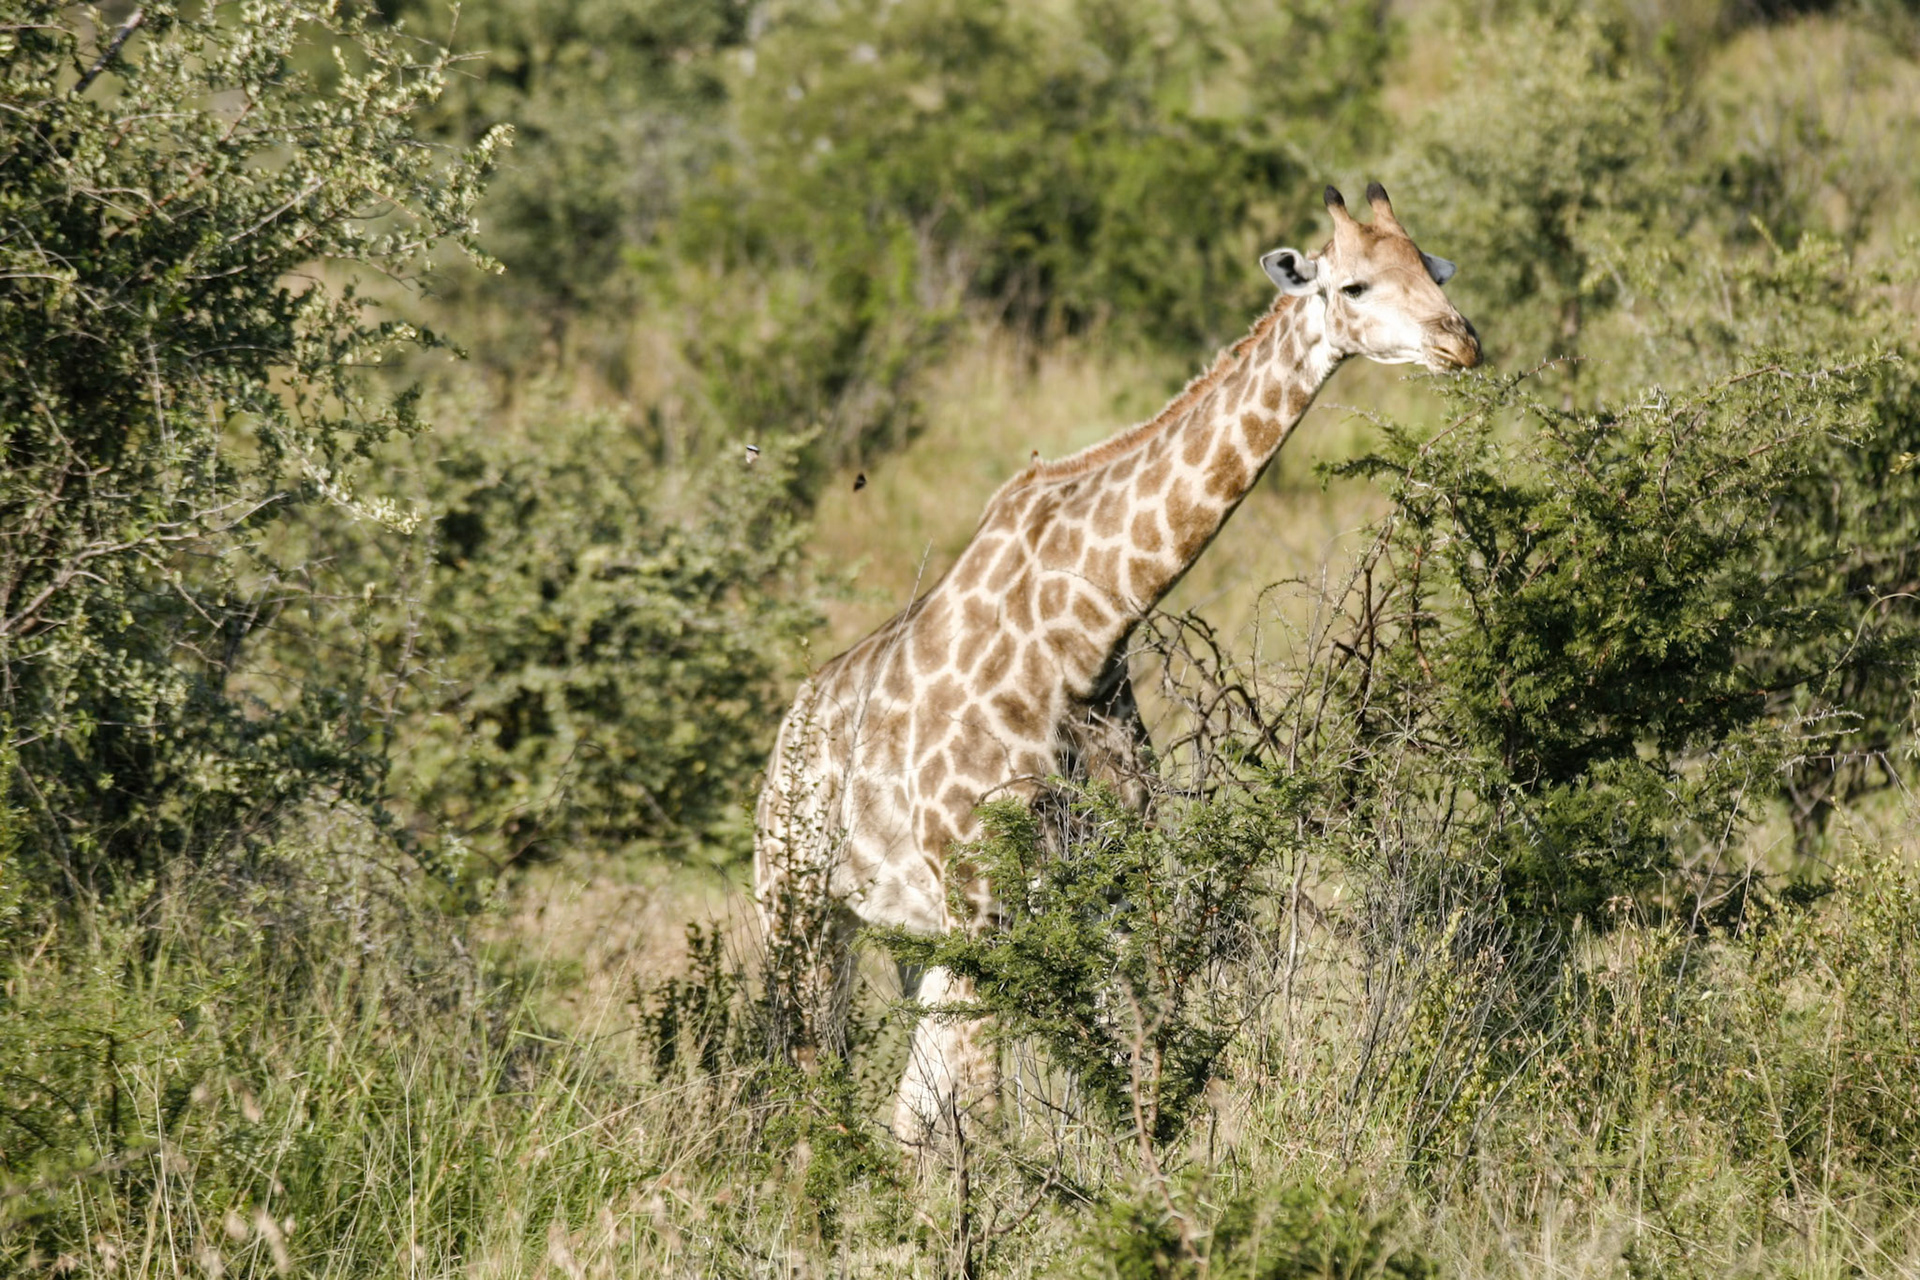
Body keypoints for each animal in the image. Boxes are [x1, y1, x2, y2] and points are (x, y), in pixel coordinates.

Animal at [754, 183, 1480, 1143]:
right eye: (1354, 285)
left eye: (1432, 268)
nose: (1461, 340)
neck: (1086, 638)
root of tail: (784, 740)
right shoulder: (981, 894)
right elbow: (987, 1106)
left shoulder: (1110, 885)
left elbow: (1130, 1065)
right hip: (798, 913)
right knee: (815, 1094)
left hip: (909, 934)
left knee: (901, 1109)